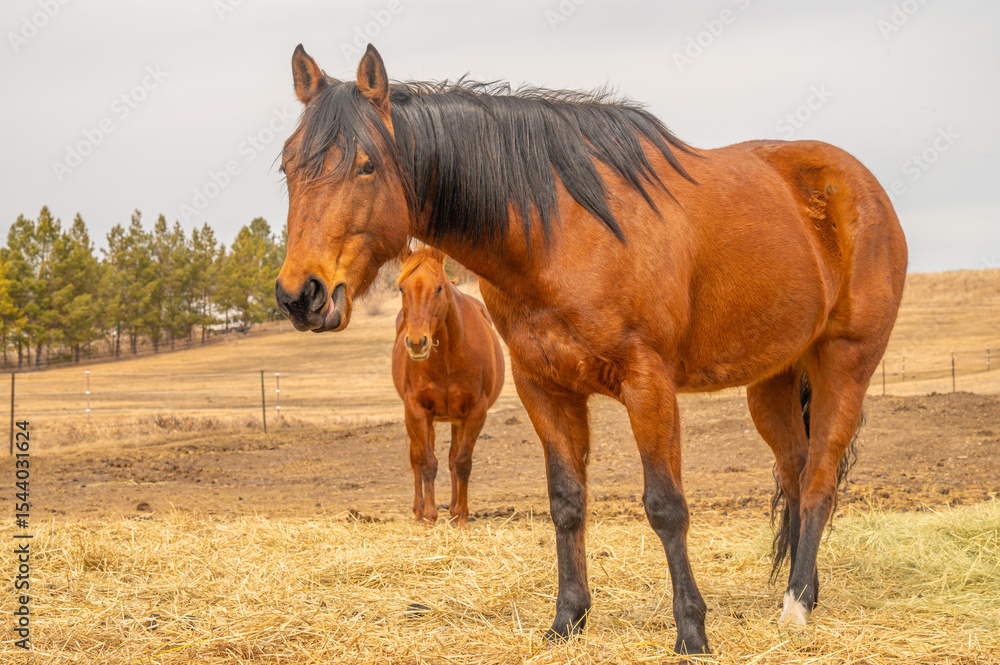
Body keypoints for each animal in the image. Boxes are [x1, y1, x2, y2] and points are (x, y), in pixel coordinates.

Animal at [391, 247, 505, 527]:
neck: (448, 358)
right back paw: (419, 511)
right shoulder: (418, 410)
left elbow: (462, 462)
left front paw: (461, 517)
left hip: (456, 420)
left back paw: (453, 509)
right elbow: (427, 463)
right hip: (418, 418)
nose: (417, 342)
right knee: (416, 459)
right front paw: (430, 517)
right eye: (401, 288)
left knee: (453, 458)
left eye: (439, 288)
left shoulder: (475, 412)